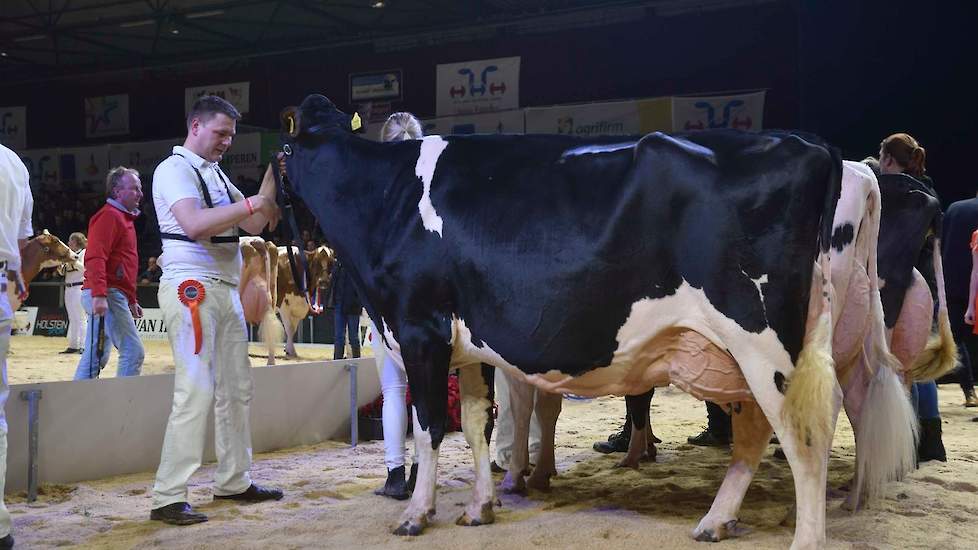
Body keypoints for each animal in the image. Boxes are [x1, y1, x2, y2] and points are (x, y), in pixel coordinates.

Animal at [278, 92, 896, 548]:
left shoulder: (419, 330)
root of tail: (817, 149)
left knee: (807, 435)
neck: (386, 199)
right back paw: (717, 521)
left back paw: (804, 536)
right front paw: (479, 507)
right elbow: (475, 423)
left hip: (765, 344)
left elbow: (428, 426)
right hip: (764, 351)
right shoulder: (465, 344)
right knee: (764, 431)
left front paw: (416, 513)